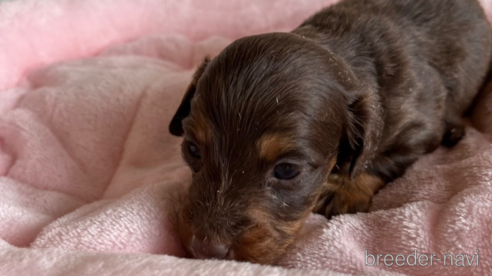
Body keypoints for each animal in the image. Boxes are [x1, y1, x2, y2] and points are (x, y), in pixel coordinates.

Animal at [168, 0, 488, 266]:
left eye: (287, 170)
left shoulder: (418, 127)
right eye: (192, 150)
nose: (206, 250)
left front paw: (344, 187)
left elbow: (381, 158)